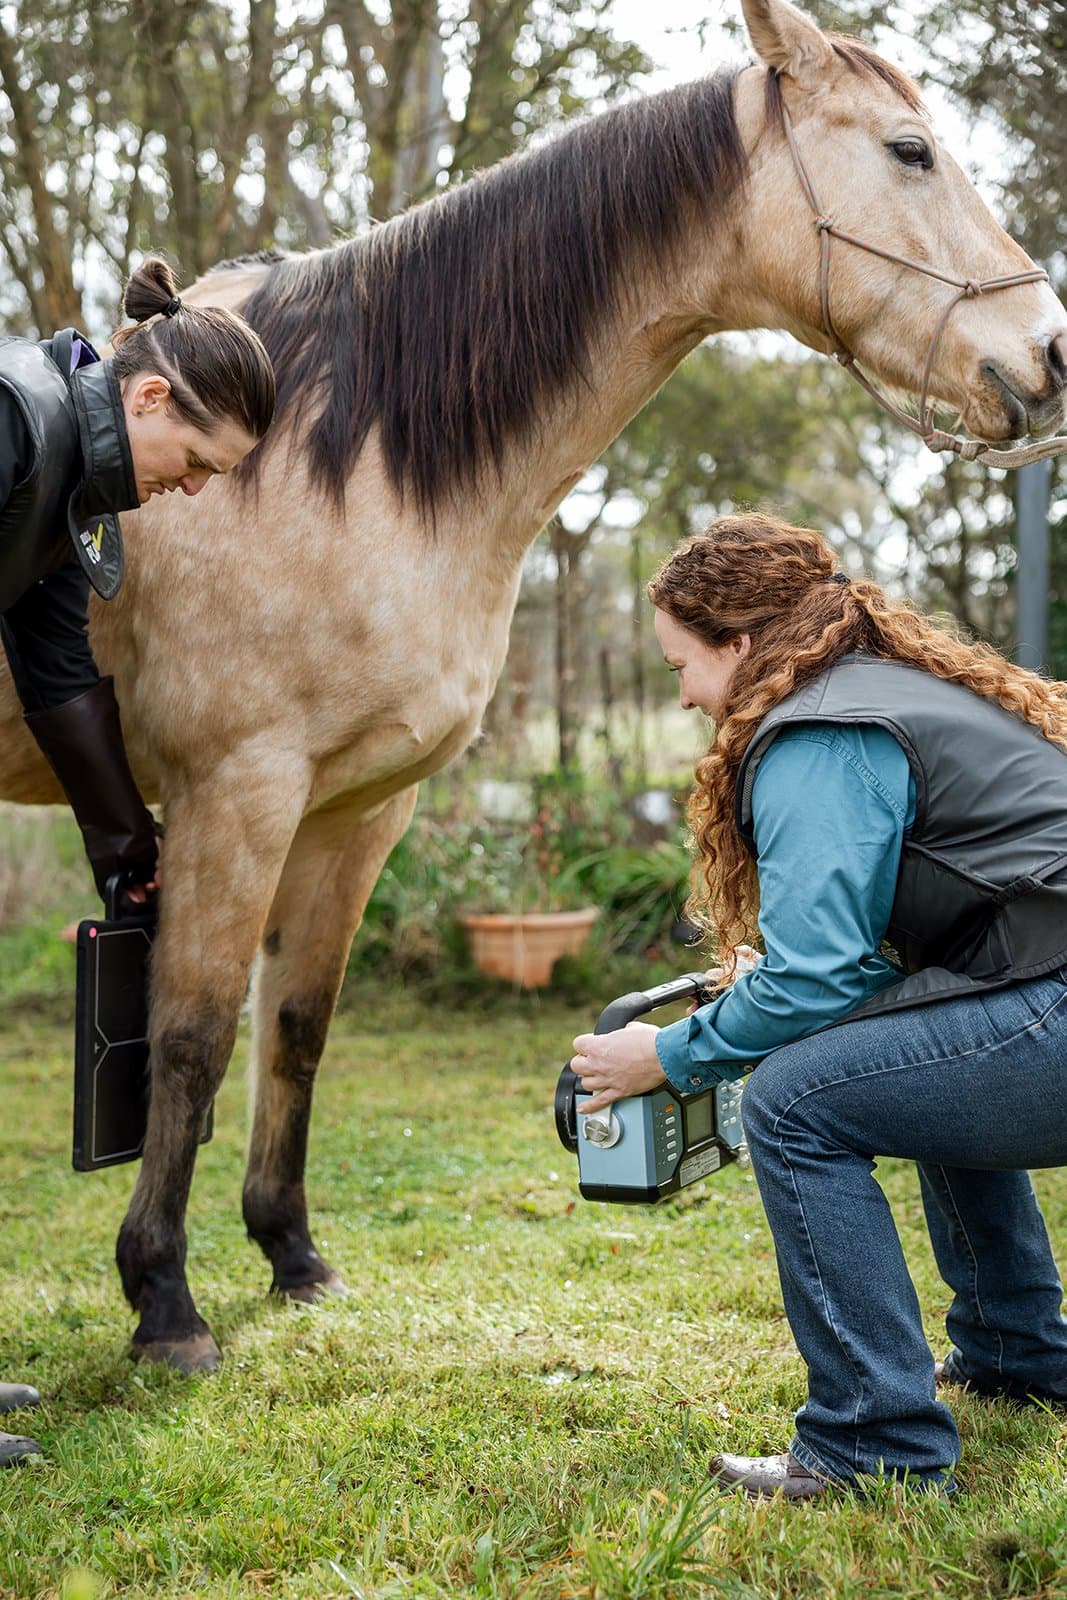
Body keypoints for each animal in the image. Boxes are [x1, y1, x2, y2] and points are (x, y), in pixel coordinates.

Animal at [1, 0, 1064, 1373]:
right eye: (907, 150)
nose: (1045, 354)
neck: (338, 455)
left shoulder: (357, 810)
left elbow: (296, 1029)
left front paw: (289, 1255)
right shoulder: (236, 795)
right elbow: (190, 1040)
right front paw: (166, 1302)